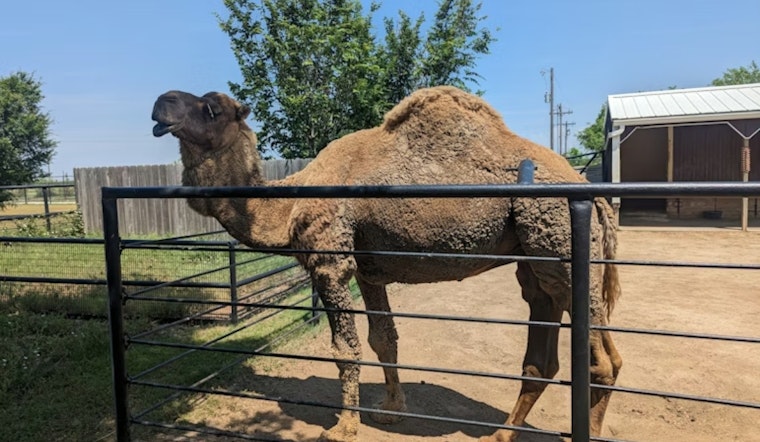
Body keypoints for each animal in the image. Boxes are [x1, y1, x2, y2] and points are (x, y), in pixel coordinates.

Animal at [151, 86, 622, 442]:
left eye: (211, 109)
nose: (161, 102)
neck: (289, 204)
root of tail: (590, 190)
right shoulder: (368, 269)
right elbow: (384, 340)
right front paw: (391, 409)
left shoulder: (331, 261)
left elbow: (345, 350)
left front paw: (343, 428)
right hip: (536, 260)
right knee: (549, 354)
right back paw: (502, 433)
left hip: (557, 239)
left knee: (601, 361)